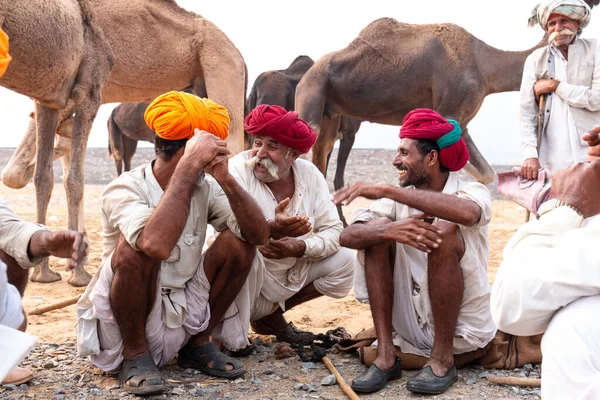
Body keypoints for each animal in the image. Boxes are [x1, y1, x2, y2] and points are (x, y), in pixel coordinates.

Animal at [1, 0, 246, 288]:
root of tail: (238, 55)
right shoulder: (52, 95)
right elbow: (37, 176)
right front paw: (47, 268)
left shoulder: (80, 87)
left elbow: (66, 177)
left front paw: (77, 271)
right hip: (201, 81)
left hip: (221, 66)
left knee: (234, 144)